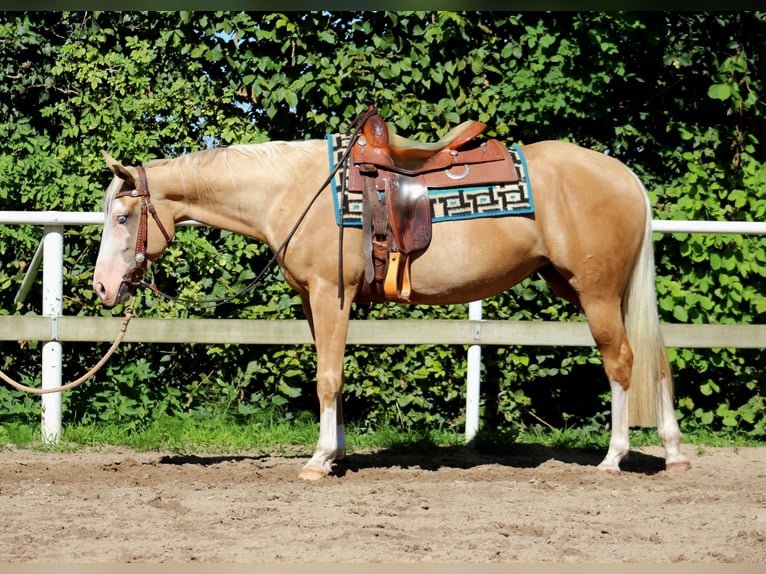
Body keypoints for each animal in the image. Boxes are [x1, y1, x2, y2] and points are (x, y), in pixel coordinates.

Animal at [93, 127, 692, 482]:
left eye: (122, 217)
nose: (102, 288)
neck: (293, 189)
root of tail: (626, 176)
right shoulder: (314, 302)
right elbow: (331, 374)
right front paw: (334, 451)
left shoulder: (329, 295)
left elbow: (327, 378)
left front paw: (317, 462)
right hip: (594, 289)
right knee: (656, 361)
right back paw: (674, 452)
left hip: (595, 292)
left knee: (622, 362)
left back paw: (612, 458)